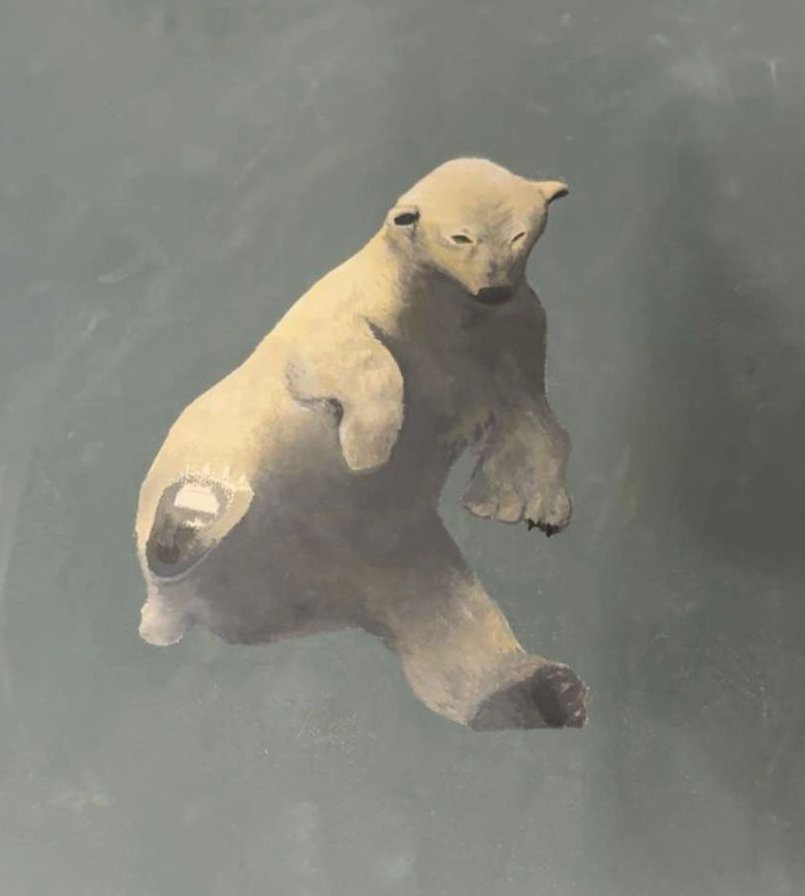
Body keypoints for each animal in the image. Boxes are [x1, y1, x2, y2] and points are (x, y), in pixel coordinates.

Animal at [135, 157, 587, 731]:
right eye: (460, 237)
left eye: (519, 234)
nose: (492, 288)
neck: (437, 306)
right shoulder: (344, 310)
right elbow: (349, 355)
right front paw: (370, 449)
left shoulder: (507, 331)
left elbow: (531, 416)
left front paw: (520, 503)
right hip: (220, 447)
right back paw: (189, 518)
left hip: (369, 549)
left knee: (441, 619)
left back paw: (547, 692)